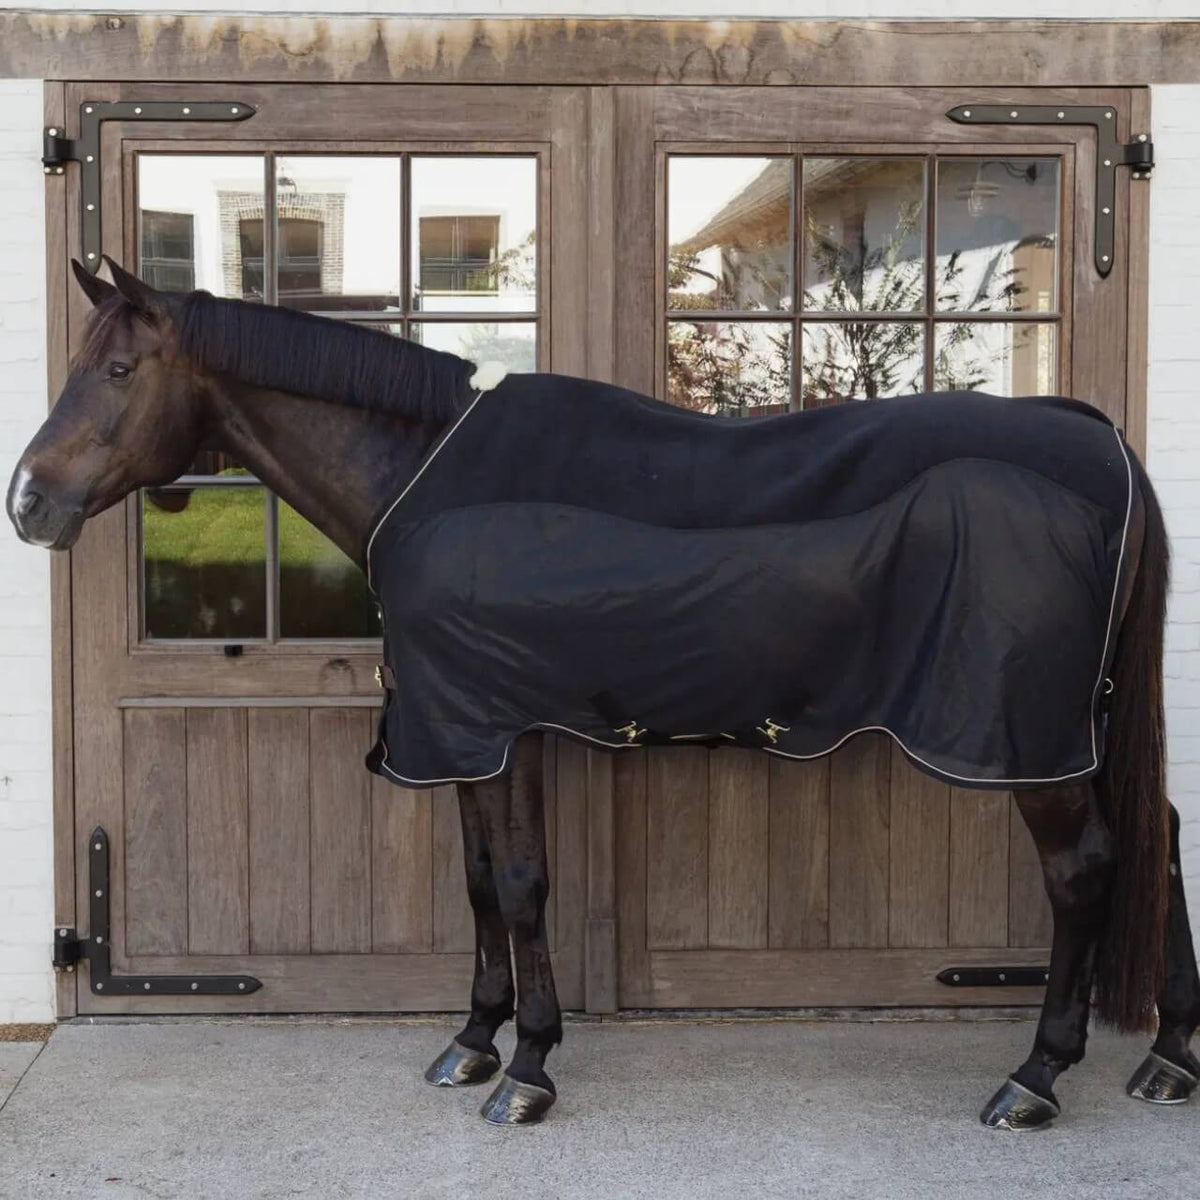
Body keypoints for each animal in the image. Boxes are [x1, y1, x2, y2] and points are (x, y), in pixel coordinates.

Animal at [7, 256, 1198, 1129]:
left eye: (119, 370)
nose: (27, 502)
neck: (424, 478)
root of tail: (1102, 443)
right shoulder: (467, 729)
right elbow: (482, 885)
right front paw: (472, 1045)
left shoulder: (495, 724)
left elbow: (523, 883)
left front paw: (528, 1070)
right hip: (1087, 724)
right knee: (1162, 833)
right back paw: (1171, 1057)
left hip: (1030, 739)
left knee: (1087, 869)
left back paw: (1036, 1078)